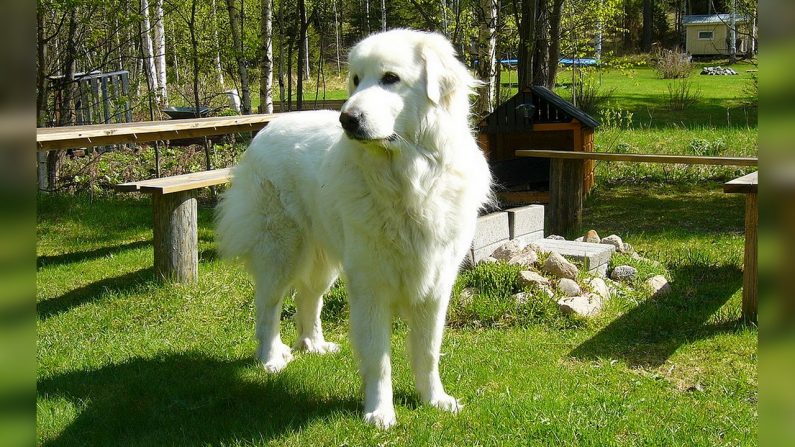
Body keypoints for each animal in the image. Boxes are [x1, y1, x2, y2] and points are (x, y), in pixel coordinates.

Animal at [215, 28, 494, 430]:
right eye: (356, 80)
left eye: (390, 78)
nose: (347, 119)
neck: (409, 180)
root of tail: (268, 126)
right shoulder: (370, 286)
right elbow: (379, 359)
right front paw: (380, 412)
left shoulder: (435, 286)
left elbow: (428, 351)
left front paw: (435, 400)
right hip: (281, 251)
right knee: (268, 306)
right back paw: (269, 358)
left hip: (324, 261)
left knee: (308, 298)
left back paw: (313, 345)